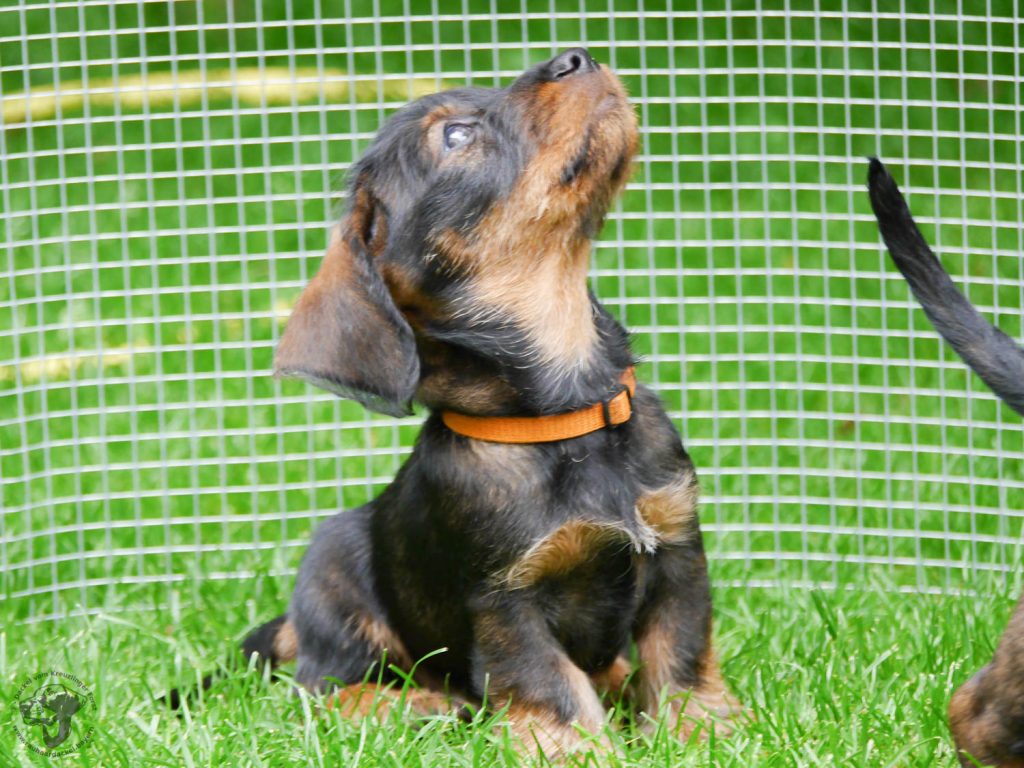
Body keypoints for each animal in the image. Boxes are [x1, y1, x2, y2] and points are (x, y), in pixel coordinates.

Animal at [236, 51, 741, 761]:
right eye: (456, 135)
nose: (575, 57)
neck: (567, 419)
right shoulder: (505, 601)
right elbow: (547, 684)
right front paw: (572, 750)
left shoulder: (677, 551)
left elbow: (682, 655)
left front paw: (701, 731)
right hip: (332, 571)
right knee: (323, 687)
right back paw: (413, 704)